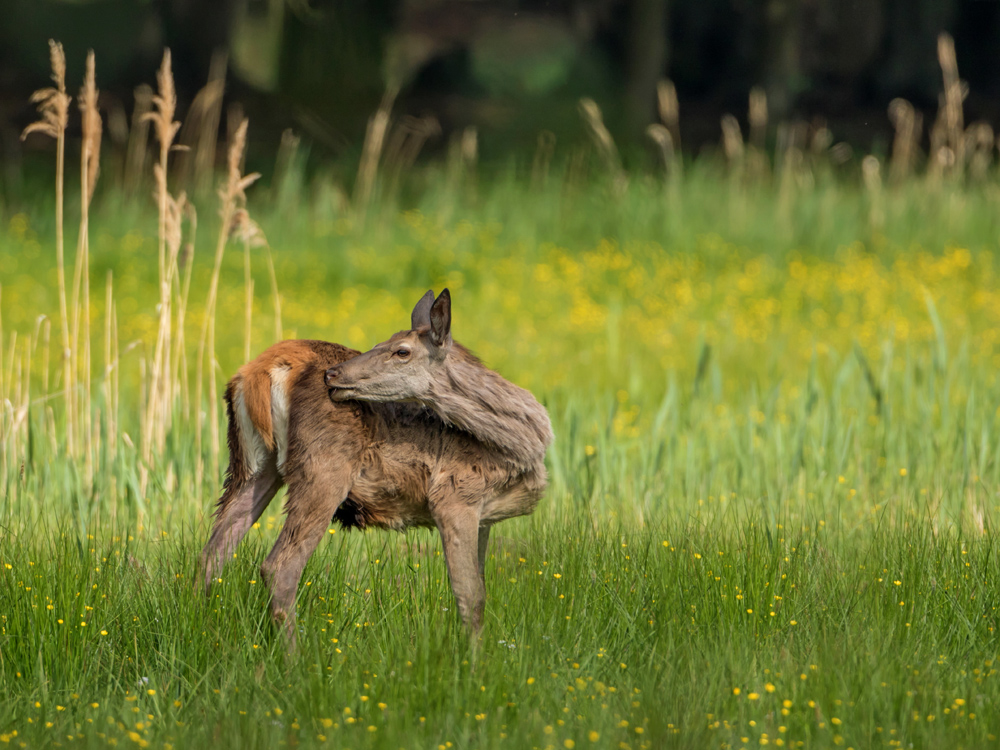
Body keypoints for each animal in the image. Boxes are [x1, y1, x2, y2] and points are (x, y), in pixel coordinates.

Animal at [198, 290, 552, 648]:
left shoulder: (484, 517)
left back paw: (206, 631)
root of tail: (263, 368)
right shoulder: (455, 497)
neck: (516, 449)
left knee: (212, 553)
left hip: (253, 464)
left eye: (401, 350)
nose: (333, 374)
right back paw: (295, 656)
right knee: (278, 567)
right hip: (324, 467)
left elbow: (480, 587)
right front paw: (473, 658)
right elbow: (471, 596)